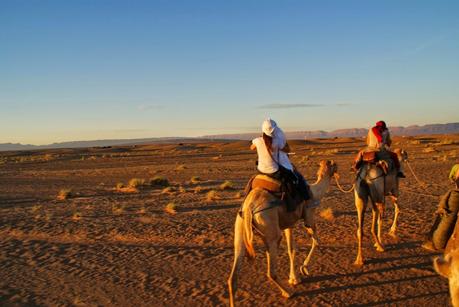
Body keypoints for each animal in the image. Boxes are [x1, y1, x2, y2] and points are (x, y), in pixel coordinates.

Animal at [227, 160, 338, 306]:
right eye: (334, 166)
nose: (338, 168)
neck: (315, 192)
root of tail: (250, 206)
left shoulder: (288, 224)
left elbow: (291, 249)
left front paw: (294, 278)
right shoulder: (309, 215)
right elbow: (316, 241)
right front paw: (303, 269)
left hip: (240, 227)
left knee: (233, 274)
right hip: (271, 230)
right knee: (271, 270)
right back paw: (288, 293)